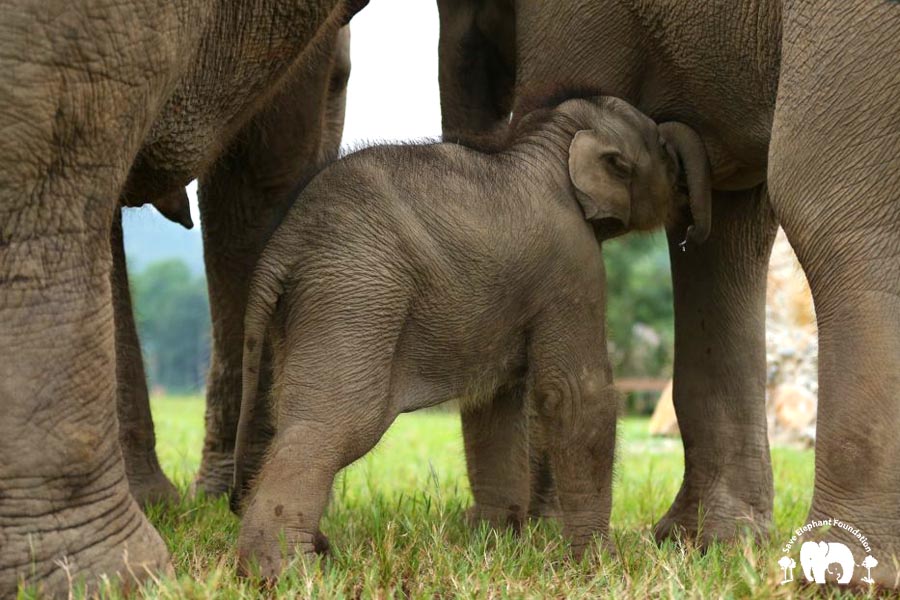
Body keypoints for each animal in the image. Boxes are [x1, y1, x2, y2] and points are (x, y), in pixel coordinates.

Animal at [232, 95, 711, 576]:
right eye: (664, 151)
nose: (691, 234)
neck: (549, 146)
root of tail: (281, 247)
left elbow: (494, 403)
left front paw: (498, 541)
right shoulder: (572, 262)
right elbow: (576, 395)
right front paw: (599, 564)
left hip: (309, 309)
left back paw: (312, 553)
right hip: (356, 296)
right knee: (335, 425)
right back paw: (286, 571)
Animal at [436, 0, 900, 586]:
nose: (487, 525)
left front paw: (543, 532)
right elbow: (734, 217)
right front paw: (709, 542)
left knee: (831, 200)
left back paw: (841, 572)